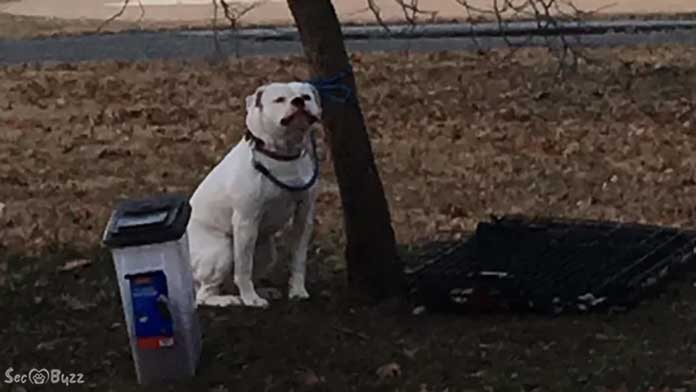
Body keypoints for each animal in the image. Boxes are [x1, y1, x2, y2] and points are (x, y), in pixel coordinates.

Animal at [188, 82, 324, 308]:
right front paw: (250, 299)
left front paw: (297, 290)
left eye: (306, 96)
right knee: (203, 294)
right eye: (279, 100)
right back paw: (227, 300)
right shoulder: (246, 220)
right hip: (221, 250)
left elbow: (298, 259)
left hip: (266, 251)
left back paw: (261, 291)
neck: (283, 154)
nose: (298, 101)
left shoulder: (304, 216)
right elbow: (243, 269)